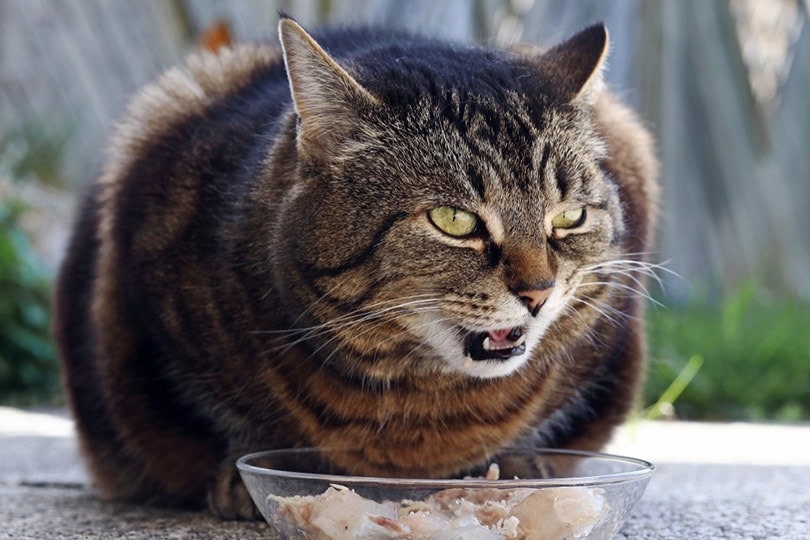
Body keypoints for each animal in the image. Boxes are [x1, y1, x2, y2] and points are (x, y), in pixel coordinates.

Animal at [53, 17, 656, 520]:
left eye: (569, 217)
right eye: (454, 220)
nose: (539, 292)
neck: (421, 405)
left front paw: (522, 465)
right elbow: (220, 413)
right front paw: (246, 471)